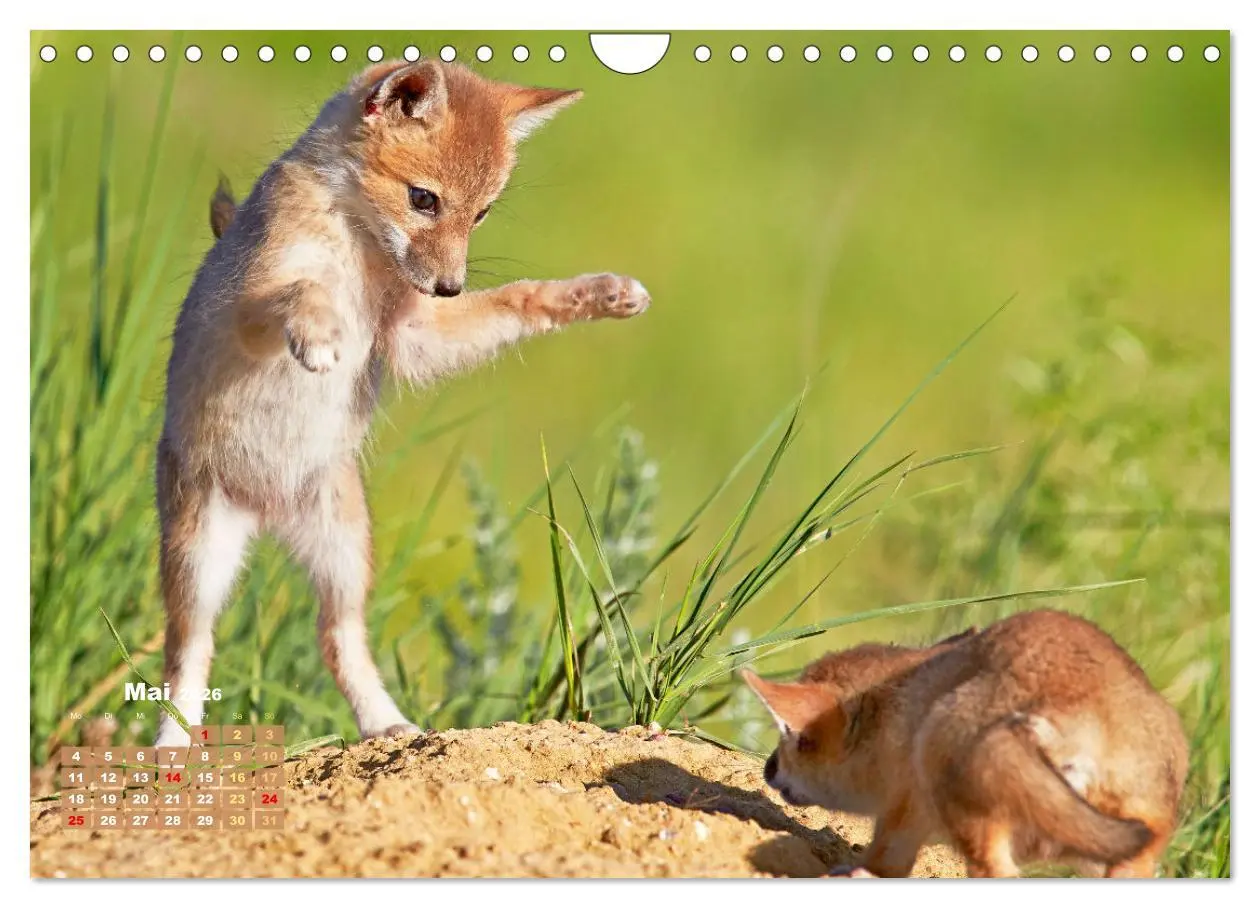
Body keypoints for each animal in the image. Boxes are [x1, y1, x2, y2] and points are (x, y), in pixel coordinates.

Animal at [154, 58, 650, 748]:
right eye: (424, 199)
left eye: (481, 214)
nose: (450, 286)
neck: (356, 250)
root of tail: (266, 511)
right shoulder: (245, 309)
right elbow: (302, 290)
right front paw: (319, 332)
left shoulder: (414, 336)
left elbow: (517, 298)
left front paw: (598, 293)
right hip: (199, 565)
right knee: (187, 655)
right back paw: (170, 748)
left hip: (342, 557)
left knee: (335, 643)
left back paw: (386, 725)